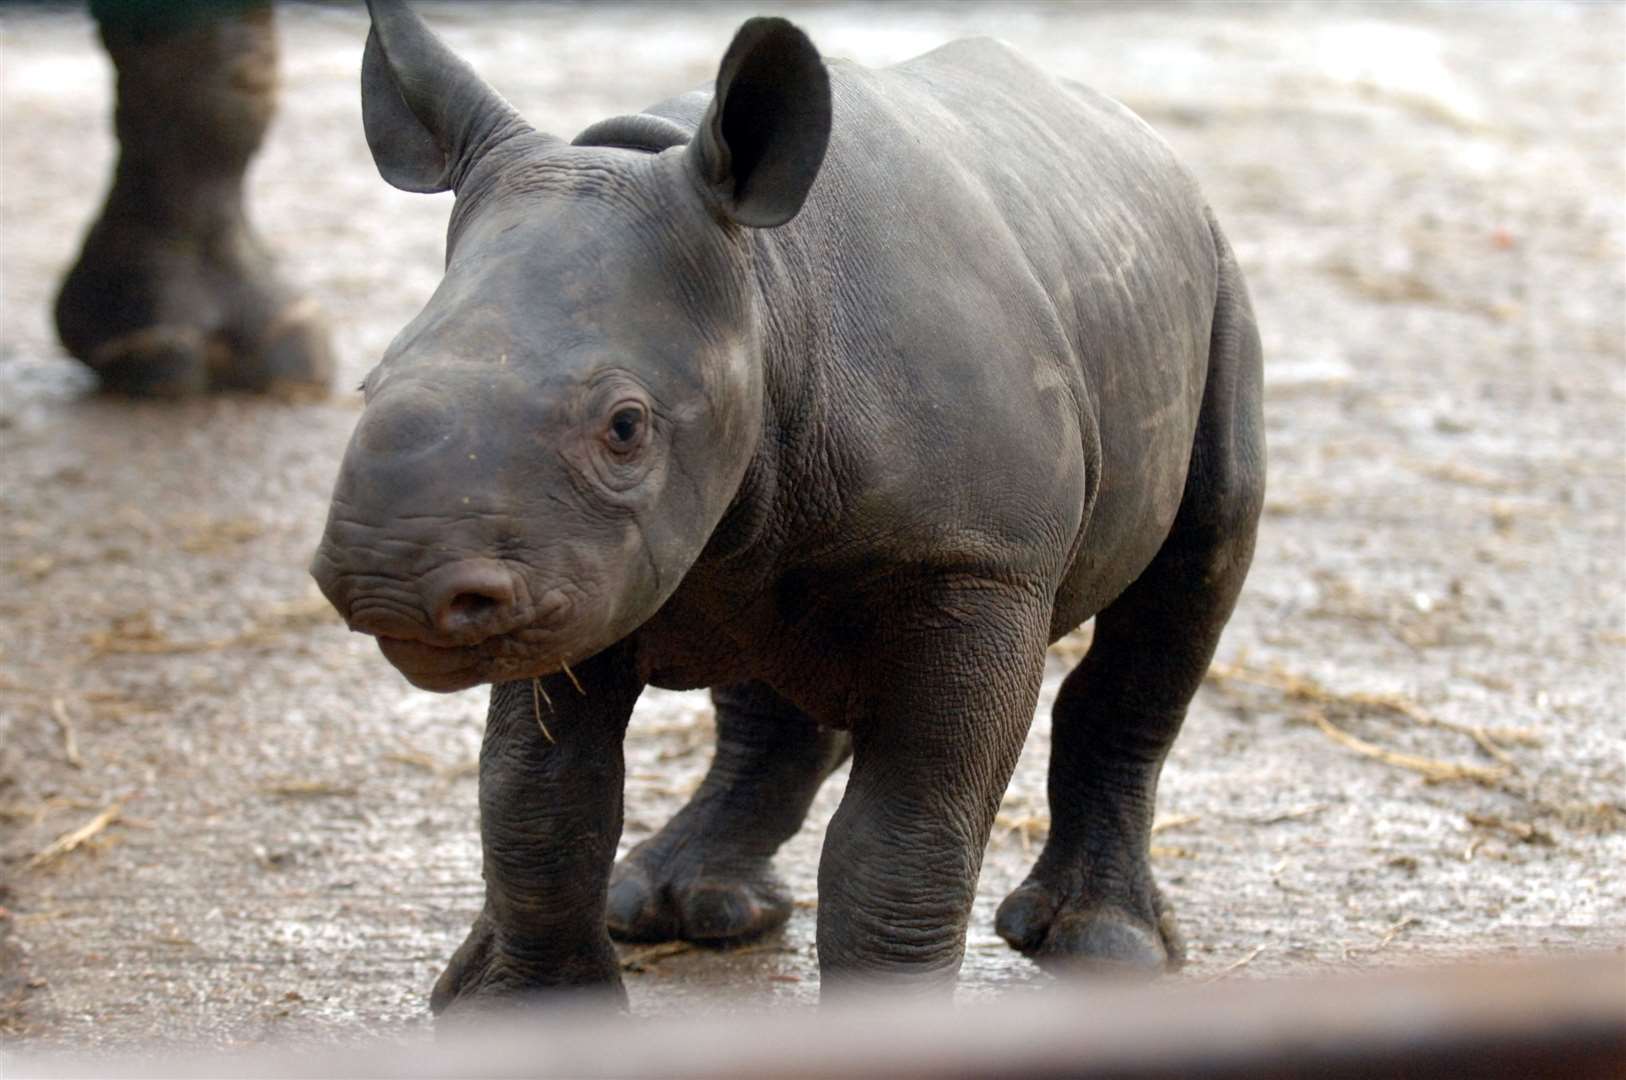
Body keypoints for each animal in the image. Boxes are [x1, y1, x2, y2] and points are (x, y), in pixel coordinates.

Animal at [310, 0, 1261, 1014]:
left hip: (1218, 280)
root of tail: (1141, 137)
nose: (390, 586)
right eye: (369, 384)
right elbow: (539, 803)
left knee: (1198, 564)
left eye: (625, 426)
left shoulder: (978, 562)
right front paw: (517, 1012)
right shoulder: (573, 569)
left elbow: (902, 841)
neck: (763, 287)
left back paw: (1104, 946)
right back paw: (675, 907)